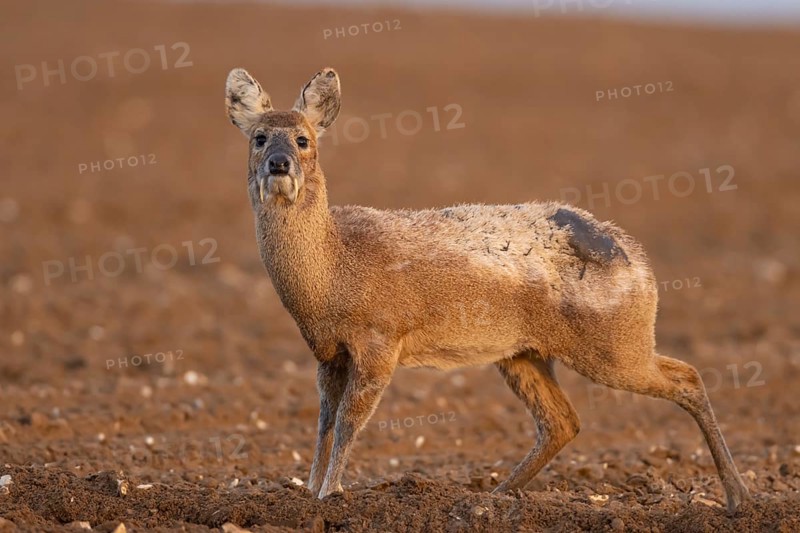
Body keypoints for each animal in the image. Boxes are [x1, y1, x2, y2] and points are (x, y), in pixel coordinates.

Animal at [224, 67, 750, 514]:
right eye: (259, 137)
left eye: (303, 139)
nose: (278, 164)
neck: (333, 271)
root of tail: (638, 260)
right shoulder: (327, 353)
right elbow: (324, 422)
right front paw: (308, 491)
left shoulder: (380, 340)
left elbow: (351, 420)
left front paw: (330, 495)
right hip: (522, 353)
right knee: (563, 421)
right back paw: (493, 497)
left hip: (614, 345)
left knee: (687, 377)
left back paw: (738, 496)